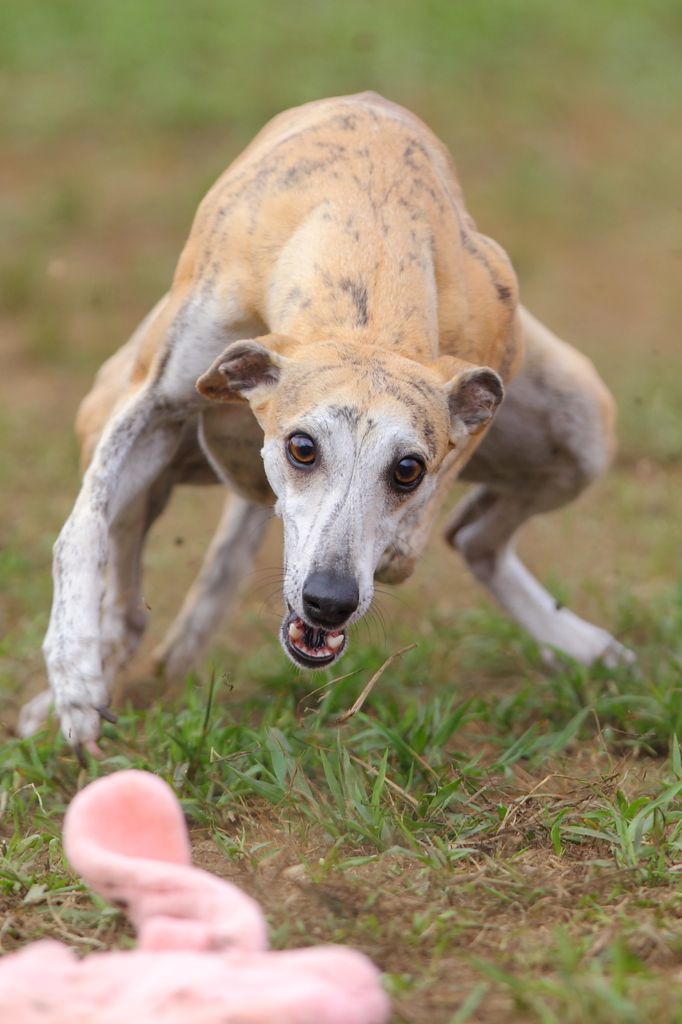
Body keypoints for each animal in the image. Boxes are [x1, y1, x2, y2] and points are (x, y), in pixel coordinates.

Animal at [25, 94, 630, 753]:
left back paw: (579, 645)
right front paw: (74, 674)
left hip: (585, 427)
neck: (368, 244)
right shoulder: (153, 406)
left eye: (409, 469)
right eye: (302, 448)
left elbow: (406, 544)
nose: (329, 603)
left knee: (471, 536)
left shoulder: (492, 372)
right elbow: (82, 528)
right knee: (127, 591)